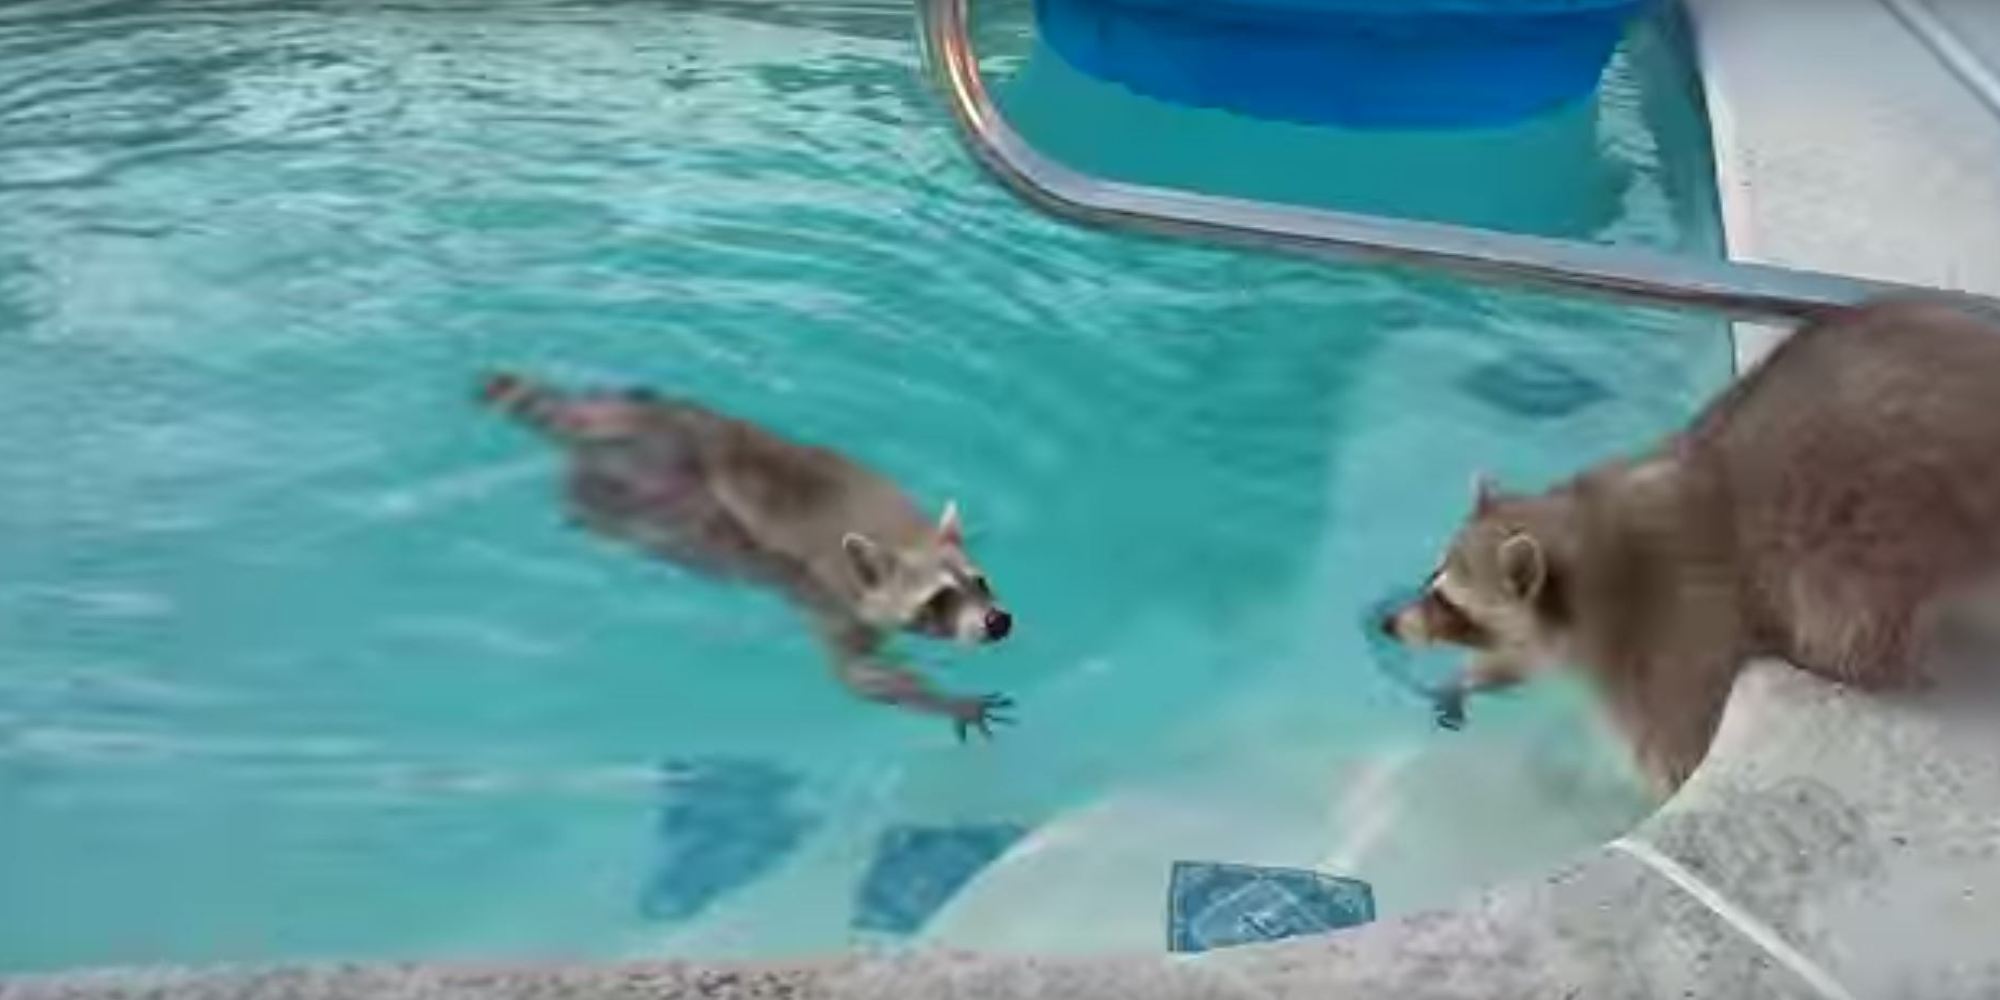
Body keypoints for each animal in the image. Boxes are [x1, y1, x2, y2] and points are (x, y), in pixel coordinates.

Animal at [482, 373, 1014, 739]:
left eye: (980, 582)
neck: (904, 537)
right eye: (939, 598)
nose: (997, 621)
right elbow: (861, 677)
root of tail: (599, 421)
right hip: (631, 491)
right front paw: (948, 702)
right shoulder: (830, 595)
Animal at [1381, 299, 2000, 795]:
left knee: (1850, 617)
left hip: (1885, 538)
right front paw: (1470, 679)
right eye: (1433, 580)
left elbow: (1676, 748)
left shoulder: (1674, 629)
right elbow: (1521, 657)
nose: (1386, 624)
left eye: (1451, 603)